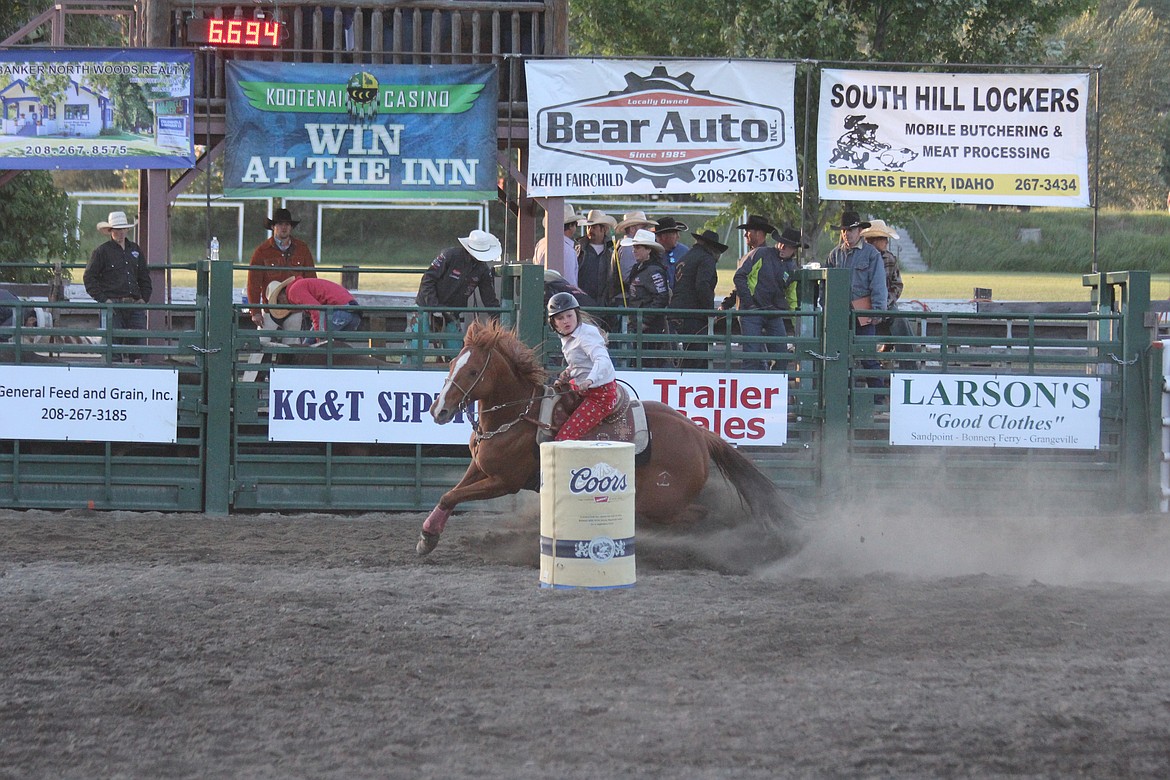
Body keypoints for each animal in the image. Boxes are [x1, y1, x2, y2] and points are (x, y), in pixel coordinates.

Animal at [414, 320, 804, 558]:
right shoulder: (480, 468)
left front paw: (427, 538)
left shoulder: (503, 481)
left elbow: (451, 495)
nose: (438, 410)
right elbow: (450, 495)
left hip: (660, 502)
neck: (517, 416)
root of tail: (698, 433)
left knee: (698, 516)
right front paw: (428, 536)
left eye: (472, 371)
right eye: (452, 364)